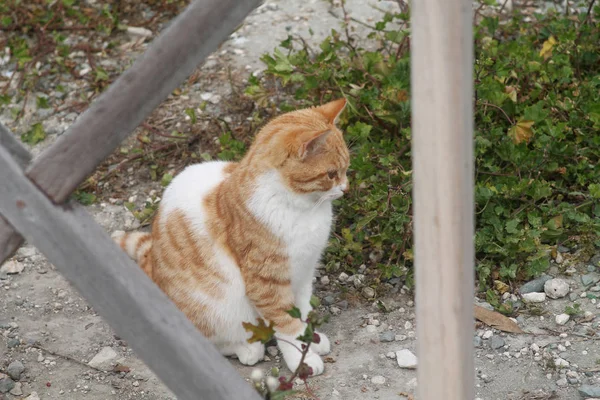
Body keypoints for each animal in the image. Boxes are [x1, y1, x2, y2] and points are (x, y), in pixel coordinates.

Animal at [112, 97, 350, 376]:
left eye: (347, 169)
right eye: (331, 174)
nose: (346, 189)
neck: (303, 207)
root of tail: (152, 262)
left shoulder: (304, 272)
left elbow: (303, 311)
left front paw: (311, 338)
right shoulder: (266, 283)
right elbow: (287, 324)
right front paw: (302, 358)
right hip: (217, 308)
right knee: (211, 340)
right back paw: (247, 348)